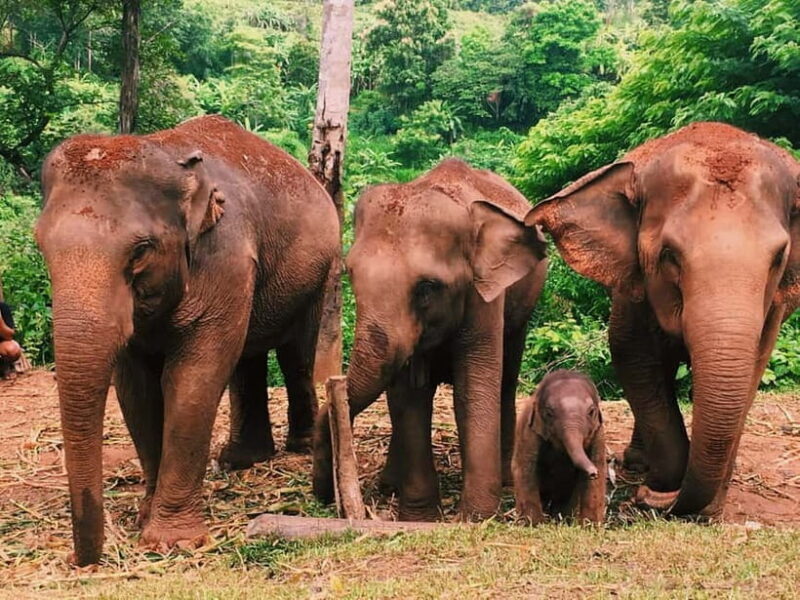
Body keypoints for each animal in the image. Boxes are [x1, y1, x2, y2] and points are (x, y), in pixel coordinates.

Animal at [35, 115, 339, 565]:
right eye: (40, 246)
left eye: (140, 251)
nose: (82, 559)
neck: (169, 156)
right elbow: (137, 390)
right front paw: (144, 520)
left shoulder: (225, 255)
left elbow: (194, 377)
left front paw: (171, 542)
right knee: (247, 358)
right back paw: (240, 461)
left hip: (319, 273)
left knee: (295, 353)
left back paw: (297, 447)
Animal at [312, 159, 548, 521]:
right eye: (350, 274)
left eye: (427, 287)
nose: (324, 496)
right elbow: (409, 395)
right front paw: (420, 518)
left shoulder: (484, 296)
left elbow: (473, 390)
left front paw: (474, 518)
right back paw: (389, 486)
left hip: (523, 308)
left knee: (506, 380)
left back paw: (506, 480)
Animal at [512, 370, 606, 524]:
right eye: (549, 413)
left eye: (591, 412)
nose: (593, 472)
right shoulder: (529, 432)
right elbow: (525, 469)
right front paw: (534, 524)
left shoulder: (598, 434)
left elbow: (598, 472)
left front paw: (590, 526)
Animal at [526, 122, 800, 517]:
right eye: (669, 255)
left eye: (779, 257)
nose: (648, 497)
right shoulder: (633, 286)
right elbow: (632, 356)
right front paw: (660, 485)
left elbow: (754, 368)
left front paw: (708, 508)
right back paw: (637, 463)